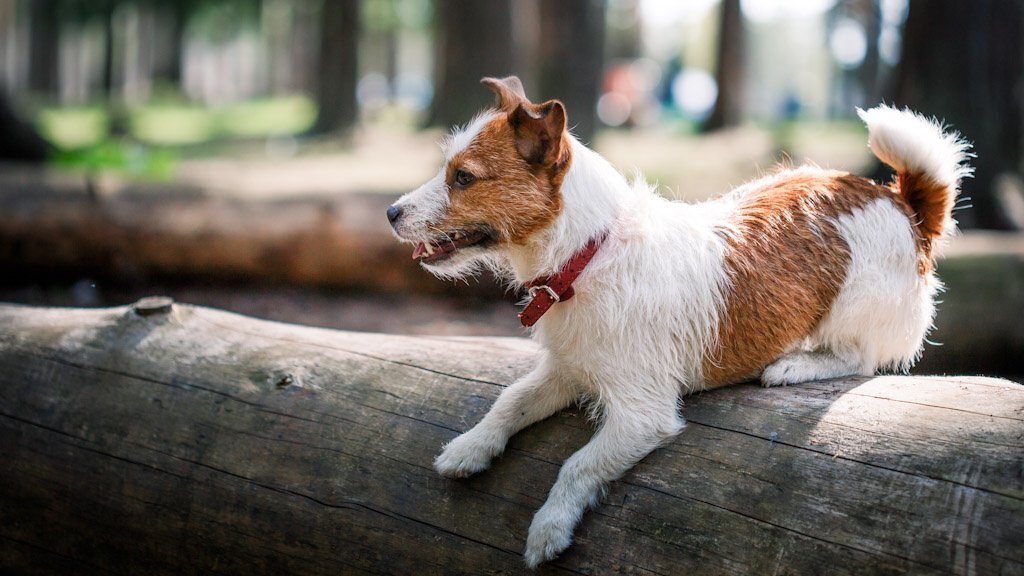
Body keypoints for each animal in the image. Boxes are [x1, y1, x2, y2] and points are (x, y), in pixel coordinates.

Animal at [385, 76, 966, 565]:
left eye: (463, 178)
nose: (390, 213)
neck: (589, 253)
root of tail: (899, 202)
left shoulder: (643, 414)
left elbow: (579, 464)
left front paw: (549, 527)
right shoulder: (570, 369)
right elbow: (510, 400)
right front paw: (470, 447)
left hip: (855, 306)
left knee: (862, 358)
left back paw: (796, 365)